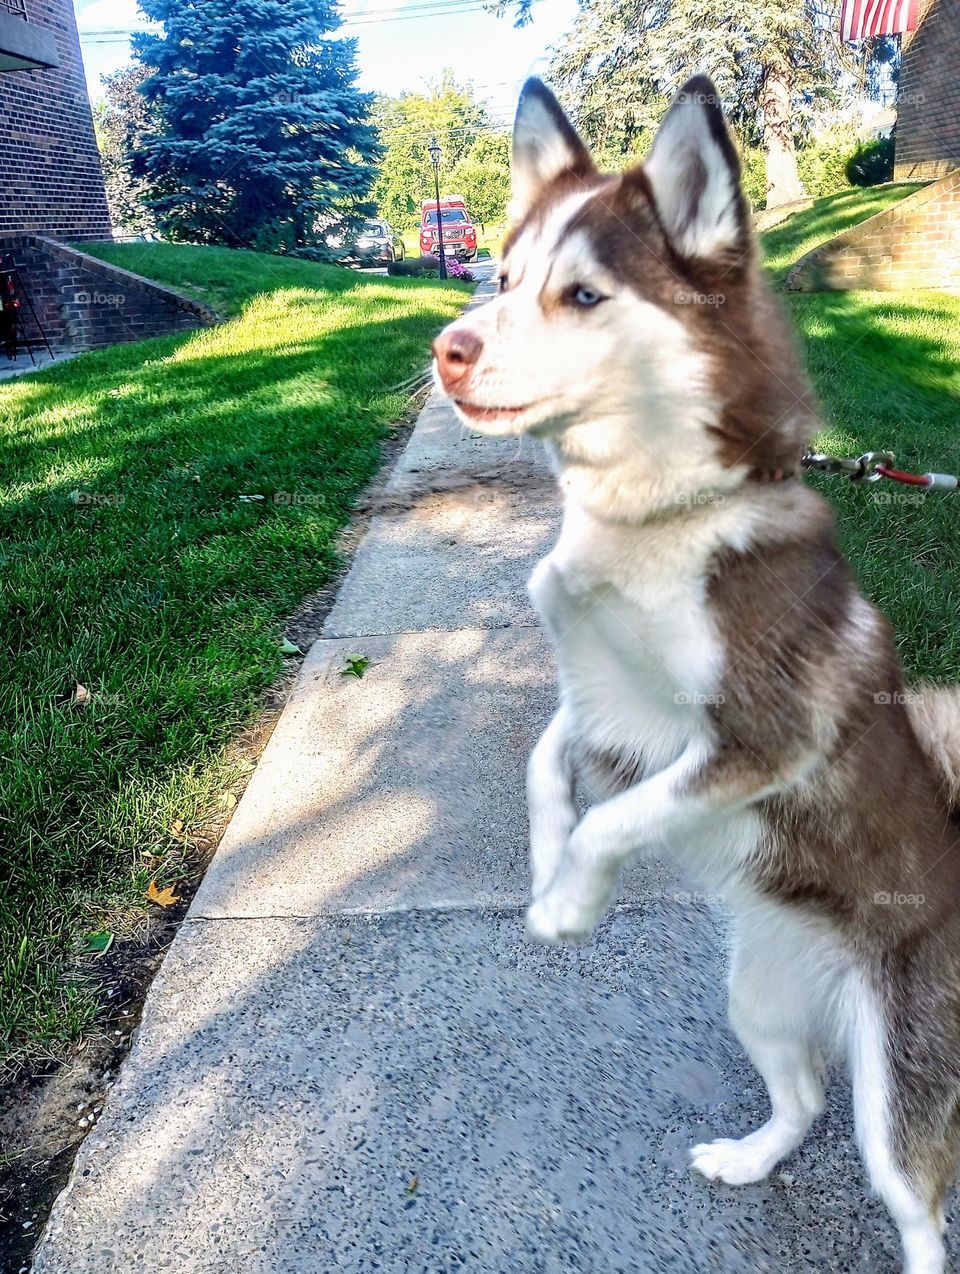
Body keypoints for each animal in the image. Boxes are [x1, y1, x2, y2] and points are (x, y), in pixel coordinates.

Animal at [432, 77, 957, 1274]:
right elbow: (547, 769)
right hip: (758, 994)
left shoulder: (758, 736)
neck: (655, 516)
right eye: (501, 278)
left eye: (582, 294)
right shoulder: (599, 701)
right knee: (802, 1096)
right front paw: (544, 870)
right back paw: (751, 1156)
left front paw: (569, 903)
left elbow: (613, 818)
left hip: (900, 1085)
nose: (447, 347)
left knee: (919, 1208)